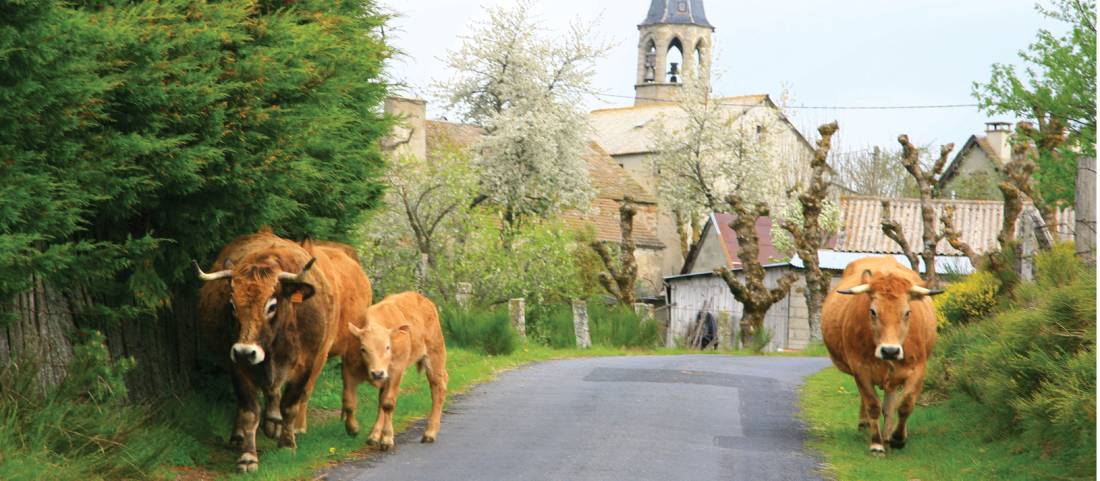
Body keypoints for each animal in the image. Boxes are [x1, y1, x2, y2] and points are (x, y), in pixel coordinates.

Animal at [195, 226, 371, 471]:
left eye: (271, 305)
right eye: (232, 305)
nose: (245, 351)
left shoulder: (308, 364)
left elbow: (291, 403)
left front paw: (287, 444)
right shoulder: (237, 367)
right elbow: (249, 411)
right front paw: (248, 456)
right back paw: (246, 433)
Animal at [343, 292, 446, 449]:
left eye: (388, 347)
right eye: (363, 349)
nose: (377, 373)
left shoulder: (396, 372)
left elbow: (388, 404)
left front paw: (387, 438)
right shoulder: (348, 370)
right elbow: (349, 402)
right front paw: (352, 429)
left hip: (435, 355)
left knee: (438, 388)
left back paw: (430, 433)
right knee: (380, 399)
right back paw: (373, 436)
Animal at [822, 255, 941, 453]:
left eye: (907, 312)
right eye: (873, 311)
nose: (890, 350)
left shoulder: (917, 369)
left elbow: (905, 404)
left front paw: (898, 438)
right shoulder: (860, 369)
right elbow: (872, 405)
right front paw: (876, 443)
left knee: (890, 405)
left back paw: (887, 434)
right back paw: (868, 426)